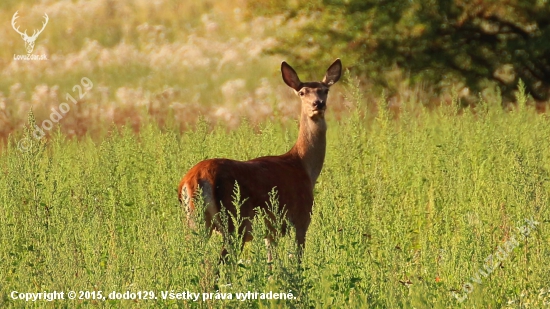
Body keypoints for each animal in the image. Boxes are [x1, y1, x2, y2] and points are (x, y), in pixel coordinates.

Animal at [179, 58, 342, 260]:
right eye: (302, 92)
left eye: (325, 90)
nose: (318, 104)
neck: (303, 166)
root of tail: (192, 179)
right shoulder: (301, 220)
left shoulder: (270, 232)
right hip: (234, 222)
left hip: (195, 221)